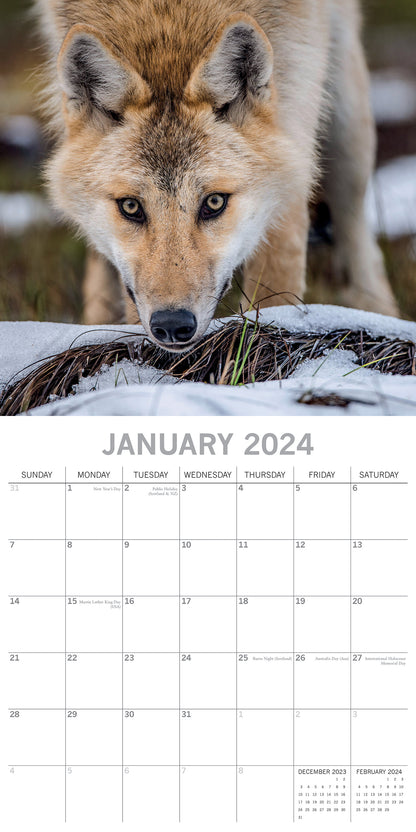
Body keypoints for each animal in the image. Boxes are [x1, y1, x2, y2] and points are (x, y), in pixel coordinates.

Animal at [35, 0, 398, 350]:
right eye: (130, 207)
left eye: (214, 202)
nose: (171, 325)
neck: (167, 17)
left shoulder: (296, 134)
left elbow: (275, 289)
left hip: (345, 113)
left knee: (356, 229)